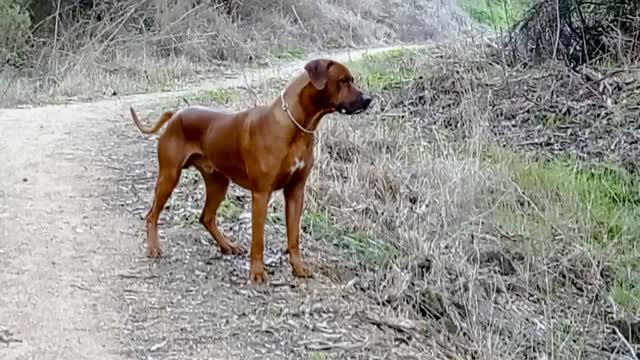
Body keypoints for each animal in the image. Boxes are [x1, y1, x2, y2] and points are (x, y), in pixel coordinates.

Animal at [128, 59, 372, 284]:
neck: (295, 126)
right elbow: (258, 239)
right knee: (152, 215)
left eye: (351, 80)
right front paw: (257, 272)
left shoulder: (296, 191)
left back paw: (227, 245)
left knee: (206, 217)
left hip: (218, 182)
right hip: (169, 176)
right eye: (343, 81)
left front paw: (298, 268)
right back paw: (153, 248)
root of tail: (175, 114)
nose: (369, 99)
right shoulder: (261, 194)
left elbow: (294, 237)